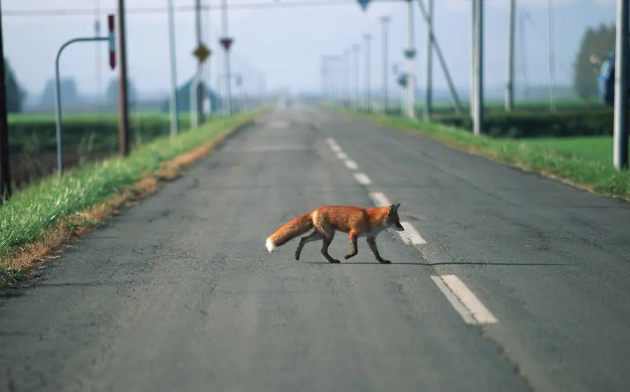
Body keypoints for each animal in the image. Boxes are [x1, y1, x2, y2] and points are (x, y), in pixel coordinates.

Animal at [266, 204, 404, 264]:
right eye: (397, 221)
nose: (403, 228)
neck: (371, 219)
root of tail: (316, 209)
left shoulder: (370, 238)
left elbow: (376, 253)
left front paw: (382, 261)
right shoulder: (353, 233)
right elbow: (356, 251)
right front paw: (347, 257)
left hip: (321, 234)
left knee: (303, 239)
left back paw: (297, 255)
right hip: (328, 235)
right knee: (322, 250)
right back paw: (332, 260)